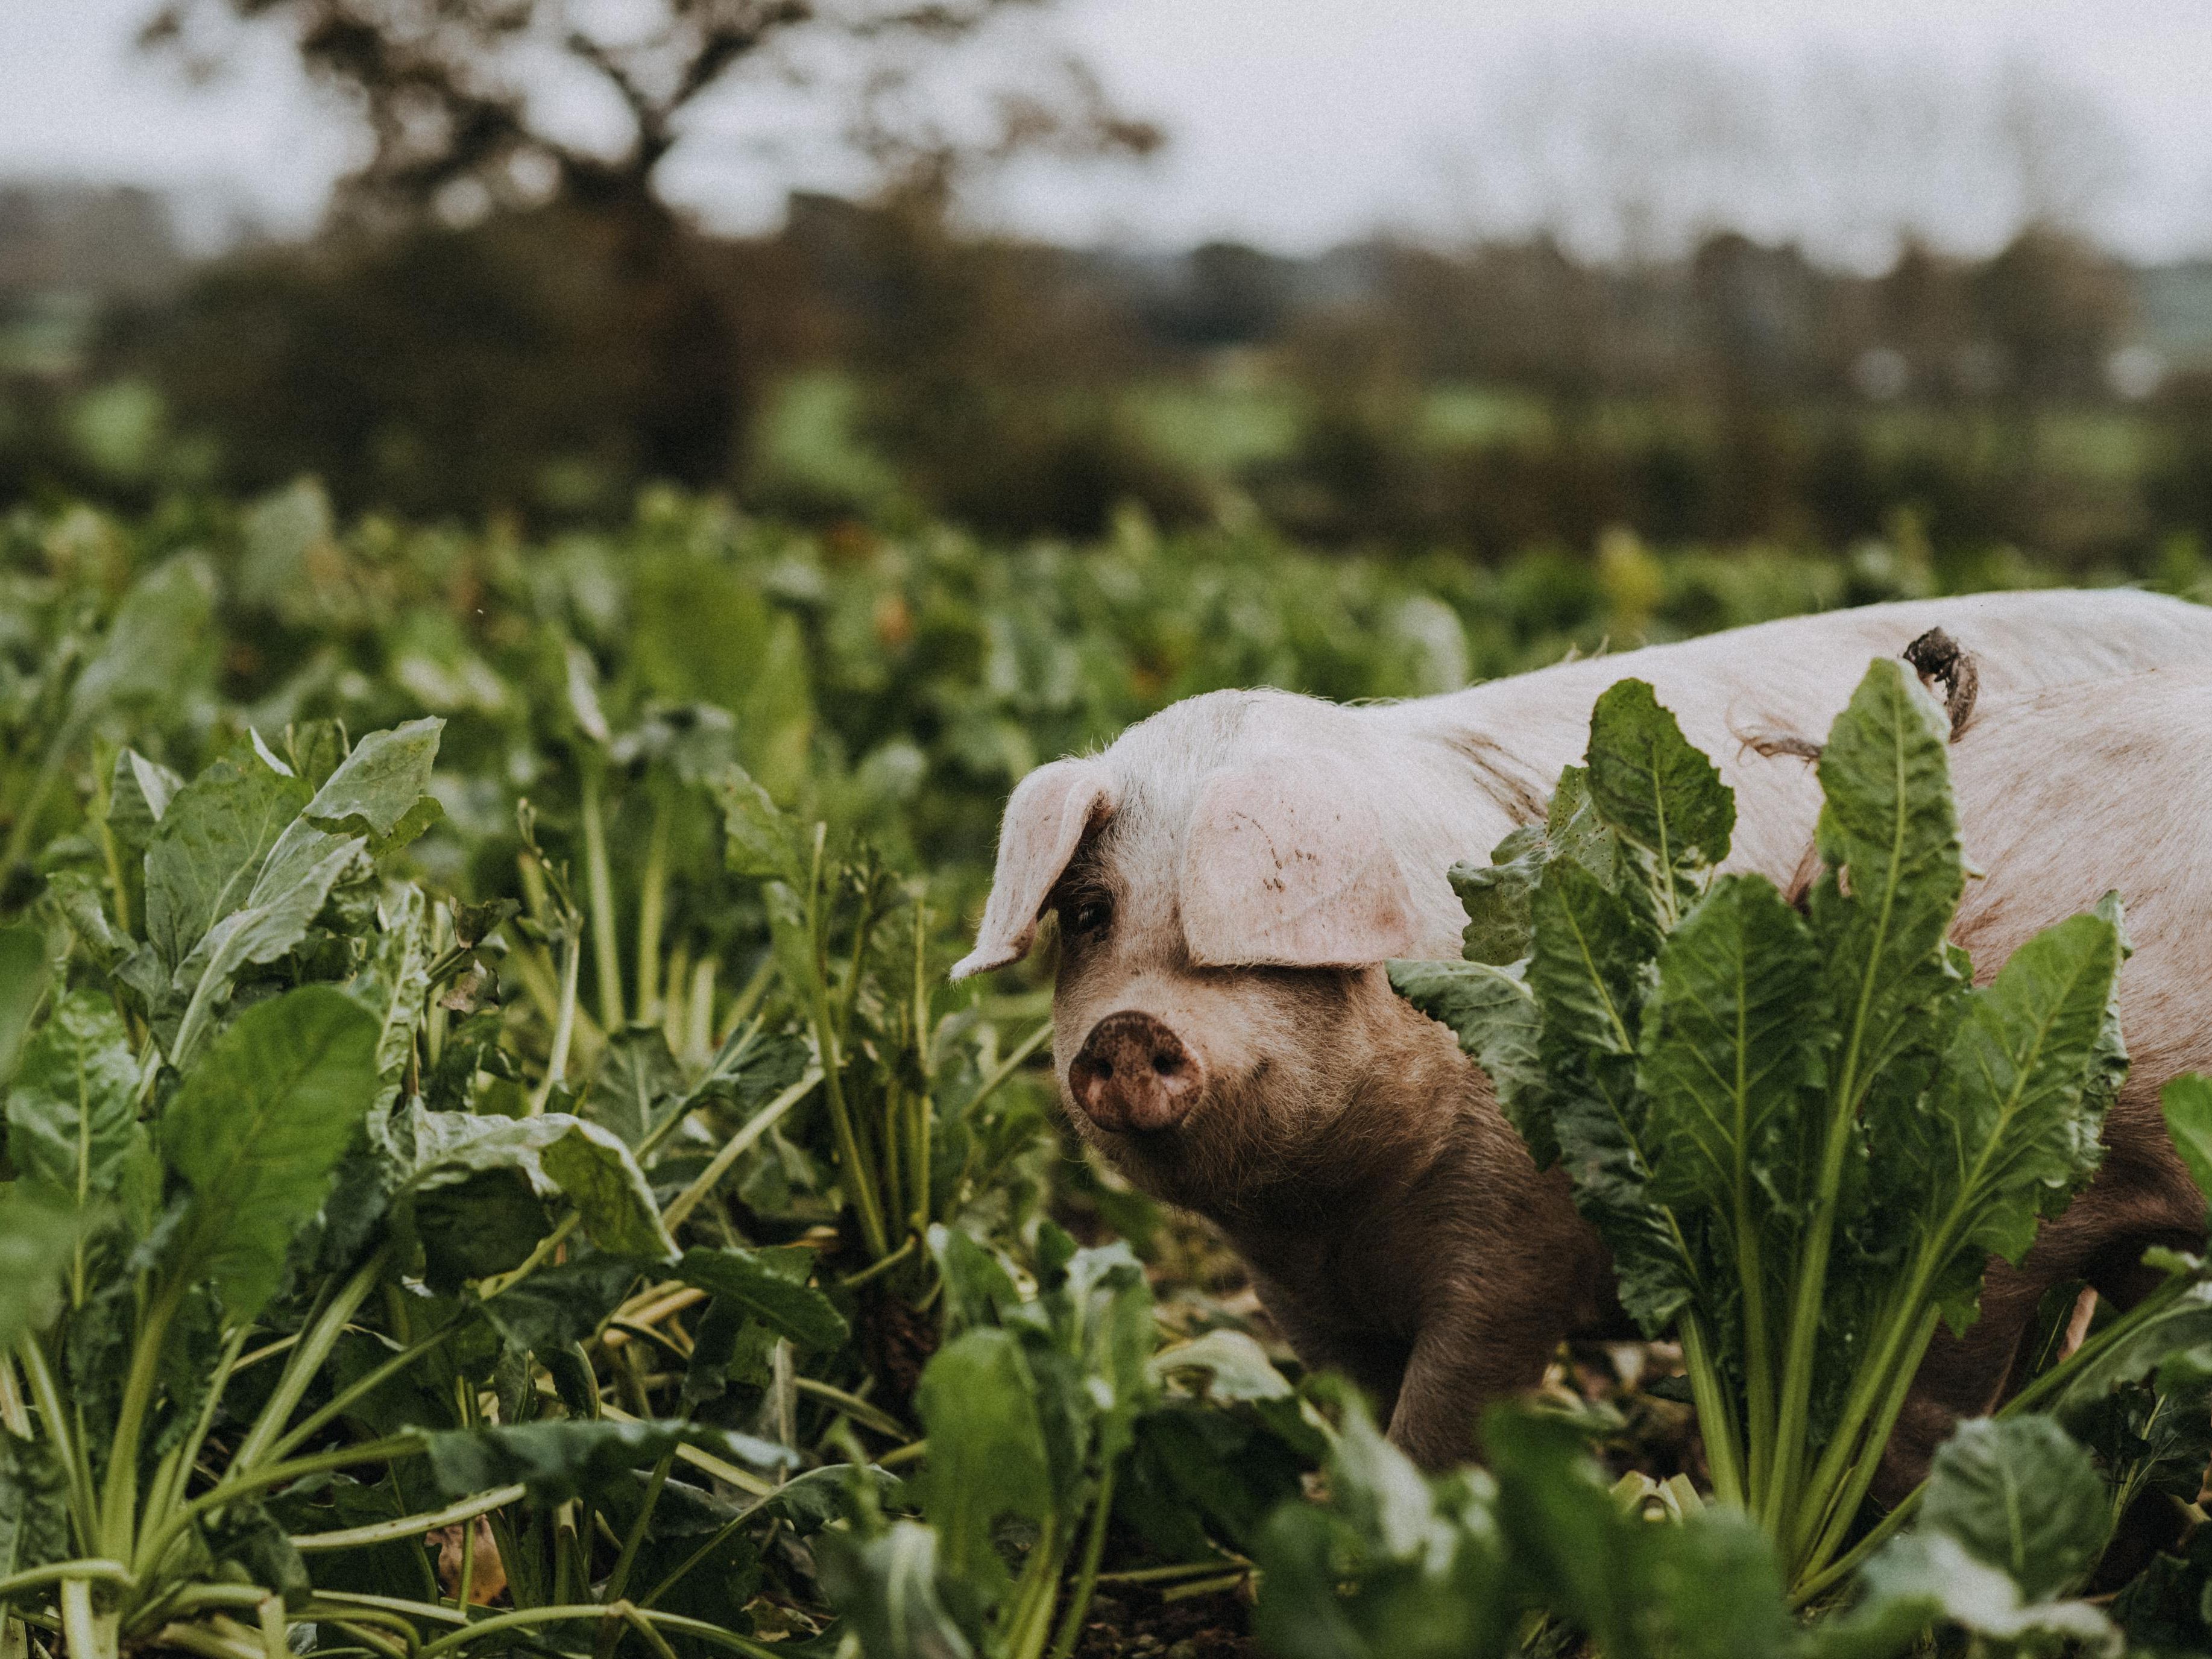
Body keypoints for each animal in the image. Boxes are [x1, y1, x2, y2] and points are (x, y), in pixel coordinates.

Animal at [952, 588, 2212, 1469]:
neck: (1330, 1214)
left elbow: (1448, 1413)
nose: (1126, 1029)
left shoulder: (1517, 1237)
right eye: (1088, 913)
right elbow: (1360, 1414)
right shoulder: (1298, 1300)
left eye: (1257, 936)